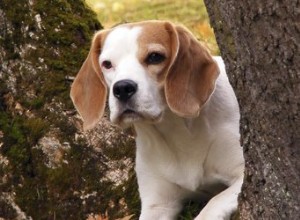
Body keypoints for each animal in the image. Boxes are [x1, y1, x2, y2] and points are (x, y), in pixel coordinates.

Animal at [70, 20, 244, 218]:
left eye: (155, 57)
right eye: (107, 64)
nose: (122, 88)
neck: (176, 133)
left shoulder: (242, 175)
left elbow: (211, 205)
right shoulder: (158, 205)